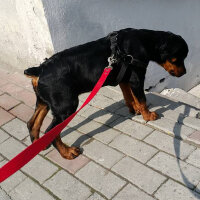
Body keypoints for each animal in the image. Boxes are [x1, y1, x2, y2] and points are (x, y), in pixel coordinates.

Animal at [24, 27, 188, 159]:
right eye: (178, 58)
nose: (184, 72)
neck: (146, 41)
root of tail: (40, 70)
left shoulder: (124, 79)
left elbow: (129, 97)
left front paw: (134, 109)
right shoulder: (136, 79)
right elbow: (142, 99)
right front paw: (148, 115)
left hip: (45, 102)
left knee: (32, 123)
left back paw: (38, 145)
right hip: (66, 106)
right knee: (50, 131)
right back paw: (67, 152)